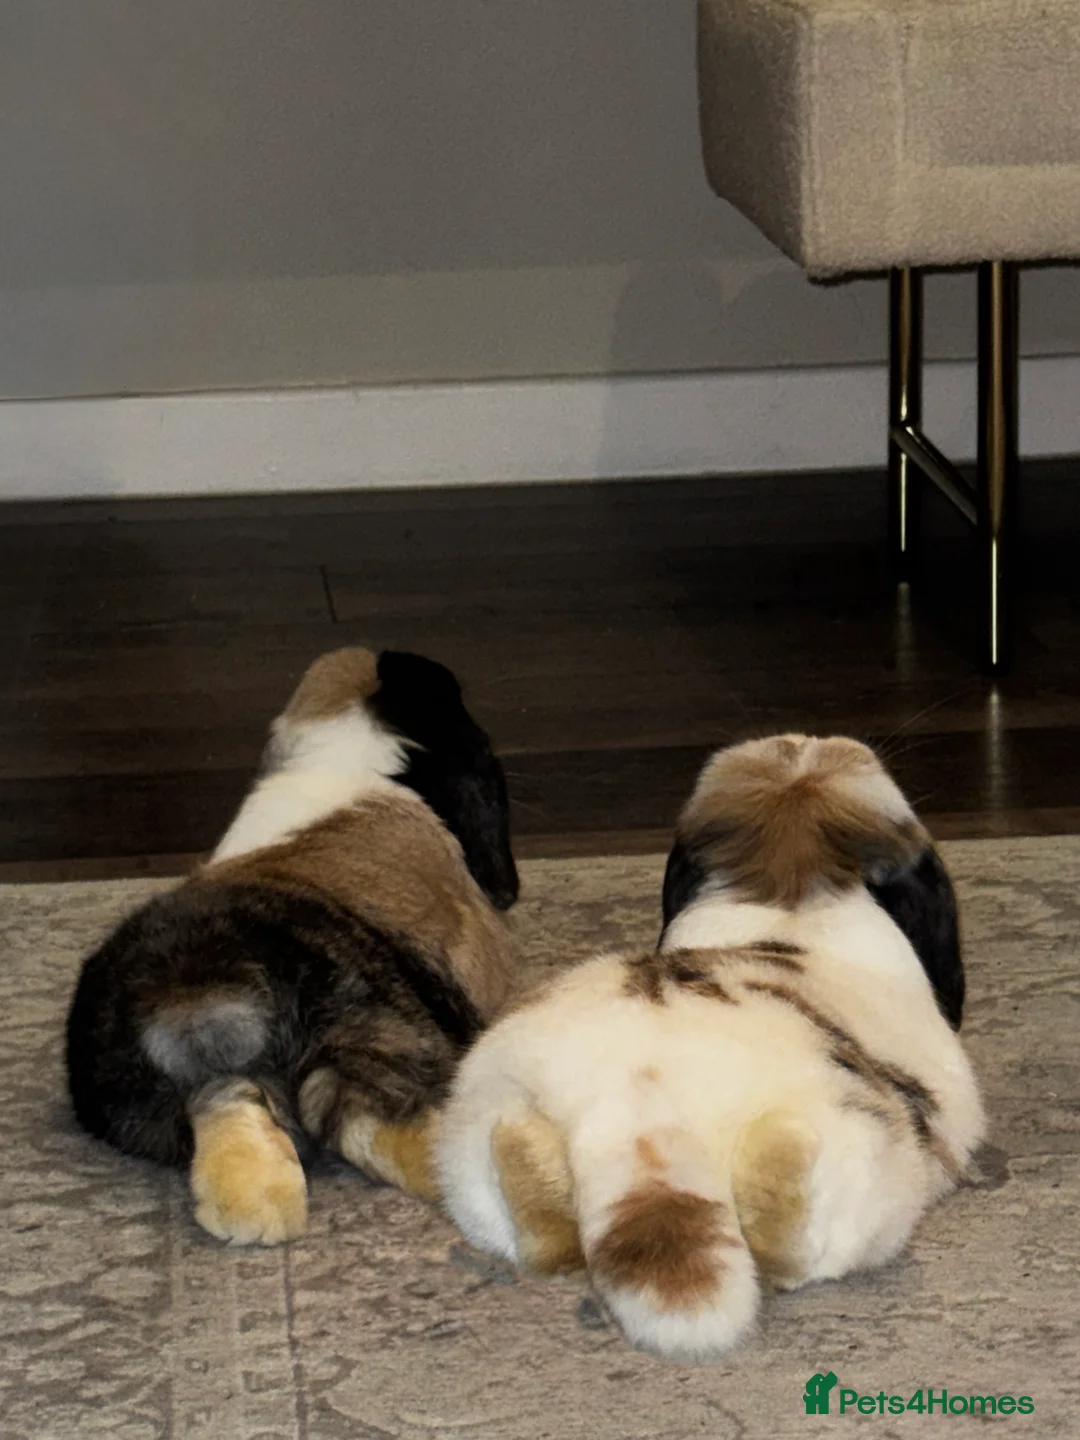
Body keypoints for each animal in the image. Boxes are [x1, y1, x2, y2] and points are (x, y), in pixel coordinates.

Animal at [435, 734, 985, 1362]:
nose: (804, 739)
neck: (785, 883)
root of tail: (642, 1116)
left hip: (474, 1142)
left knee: (539, 1236)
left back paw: (522, 1153)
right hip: (866, 1168)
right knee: (791, 1245)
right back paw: (785, 1153)